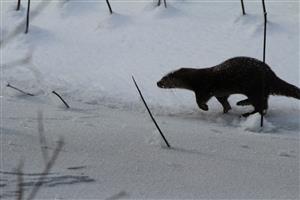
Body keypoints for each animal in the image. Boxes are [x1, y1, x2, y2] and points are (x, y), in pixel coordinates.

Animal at [157, 56, 300, 116]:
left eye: (164, 78)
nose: (157, 83)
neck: (196, 78)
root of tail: (271, 74)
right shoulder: (220, 93)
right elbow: (224, 102)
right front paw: (225, 110)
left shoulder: (204, 88)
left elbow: (199, 100)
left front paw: (205, 108)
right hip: (259, 90)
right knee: (264, 104)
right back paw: (242, 103)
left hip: (255, 87)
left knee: (261, 106)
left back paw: (245, 111)